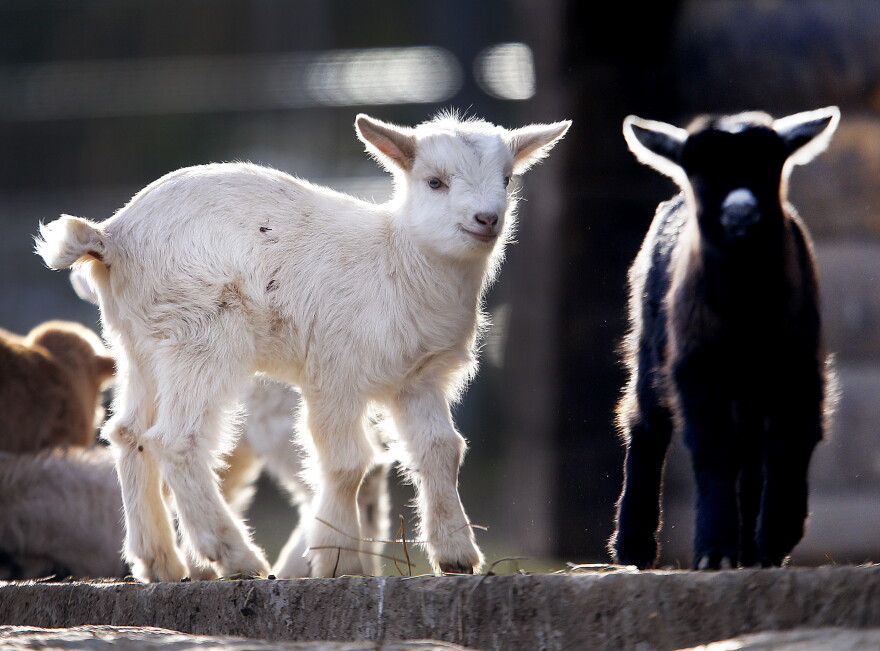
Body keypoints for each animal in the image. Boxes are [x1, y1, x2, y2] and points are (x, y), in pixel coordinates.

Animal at [35, 112, 570, 581]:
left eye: (507, 178)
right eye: (434, 181)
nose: (488, 219)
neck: (397, 260)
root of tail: (111, 237)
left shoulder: (416, 379)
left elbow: (441, 449)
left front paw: (455, 555)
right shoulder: (335, 372)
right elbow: (349, 462)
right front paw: (337, 561)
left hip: (140, 345)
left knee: (129, 434)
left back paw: (161, 564)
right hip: (202, 338)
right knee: (176, 439)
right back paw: (235, 557)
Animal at [609, 107, 839, 570]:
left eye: (771, 166)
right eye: (701, 172)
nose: (741, 212)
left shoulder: (799, 363)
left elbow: (791, 438)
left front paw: (775, 538)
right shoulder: (696, 367)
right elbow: (712, 447)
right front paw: (715, 551)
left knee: (750, 452)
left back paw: (751, 548)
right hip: (651, 345)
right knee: (646, 421)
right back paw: (634, 546)